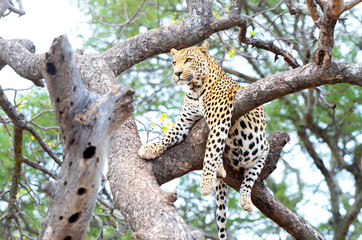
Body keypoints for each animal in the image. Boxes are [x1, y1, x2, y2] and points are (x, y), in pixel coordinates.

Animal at [139, 41, 268, 240]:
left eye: (188, 60)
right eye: (174, 62)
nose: (177, 73)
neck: (195, 89)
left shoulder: (219, 121)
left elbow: (211, 152)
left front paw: (206, 184)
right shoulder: (184, 122)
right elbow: (169, 135)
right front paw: (150, 148)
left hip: (263, 151)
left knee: (249, 179)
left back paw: (245, 198)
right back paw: (221, 169)